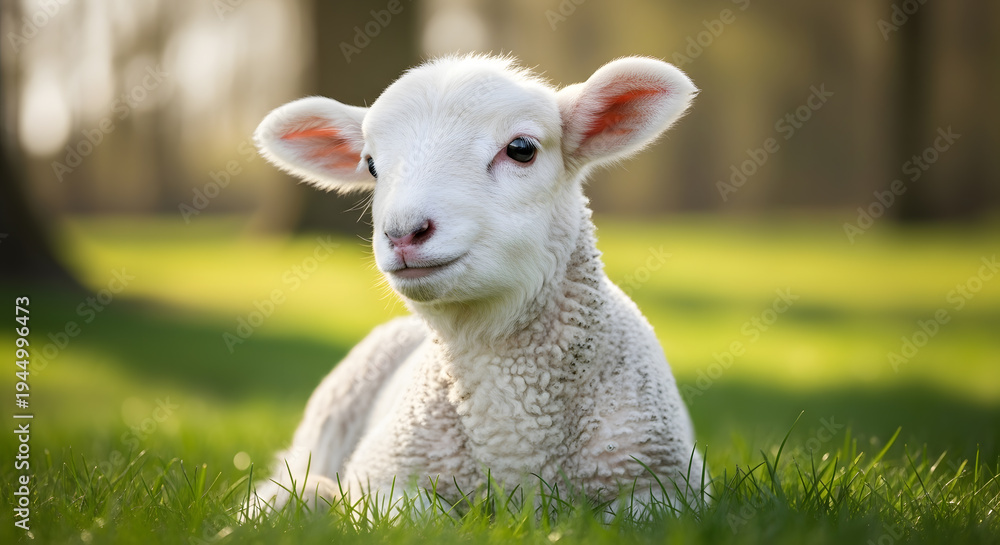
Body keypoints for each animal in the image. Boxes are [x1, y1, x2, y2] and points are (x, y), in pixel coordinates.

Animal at [251, 54, 706, 518]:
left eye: (522, 149)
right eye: (372, 165)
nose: (403, 233)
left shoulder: (668, 487)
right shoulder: (382, 475)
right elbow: (423, 518)